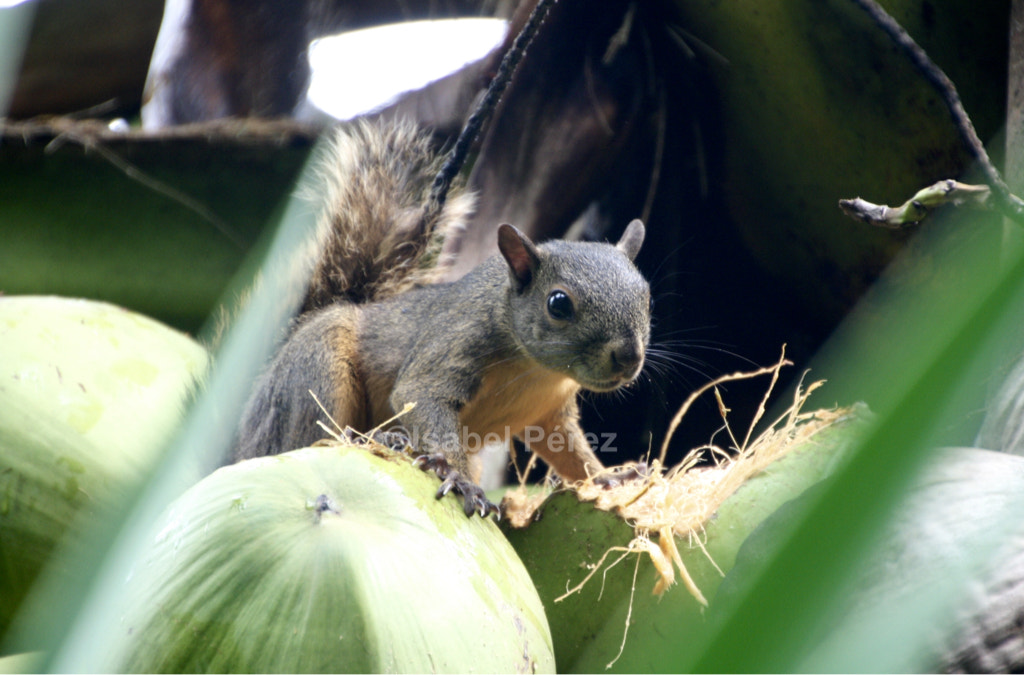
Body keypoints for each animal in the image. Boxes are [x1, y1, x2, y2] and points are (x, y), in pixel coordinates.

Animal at [232, 121, 651, 517]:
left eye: (646, 294)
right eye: (559, 303)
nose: (629, 357)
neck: (536, 372)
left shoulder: (550, 414)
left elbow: (572, 453)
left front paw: (612, 478)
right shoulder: (454, 343)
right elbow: (421, 399)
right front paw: (460, 481)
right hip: (316, 367)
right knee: (307, 438)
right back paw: (374, 439)